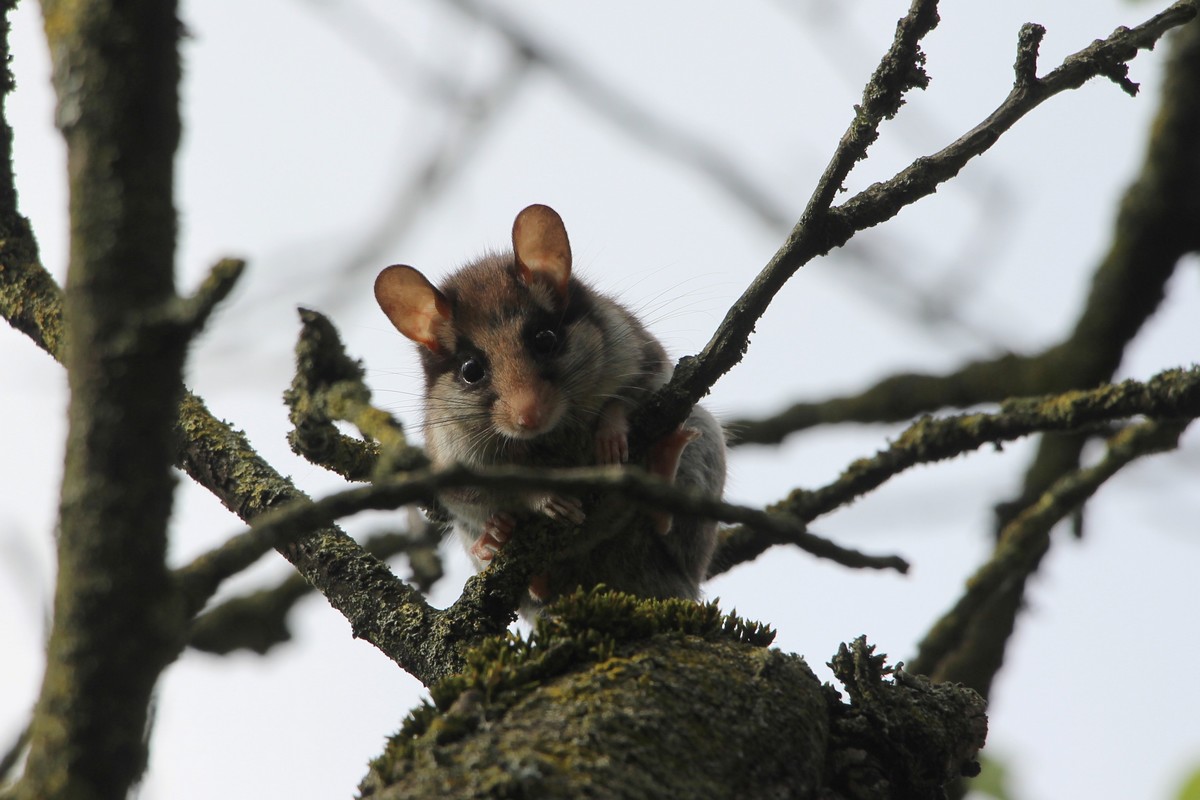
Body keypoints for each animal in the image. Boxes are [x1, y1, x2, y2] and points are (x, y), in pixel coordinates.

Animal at [374, 204, 726, 610]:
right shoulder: (456, 470)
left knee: (664, 522)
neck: (553, 435)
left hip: (702, 447)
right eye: (470, 371)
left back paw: (663, 460)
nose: (529, 418)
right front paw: (548, 503)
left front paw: (610, 441)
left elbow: (621, 401)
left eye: (545, 339)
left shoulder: (648, 362)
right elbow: (509, 488)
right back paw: (500, 541)